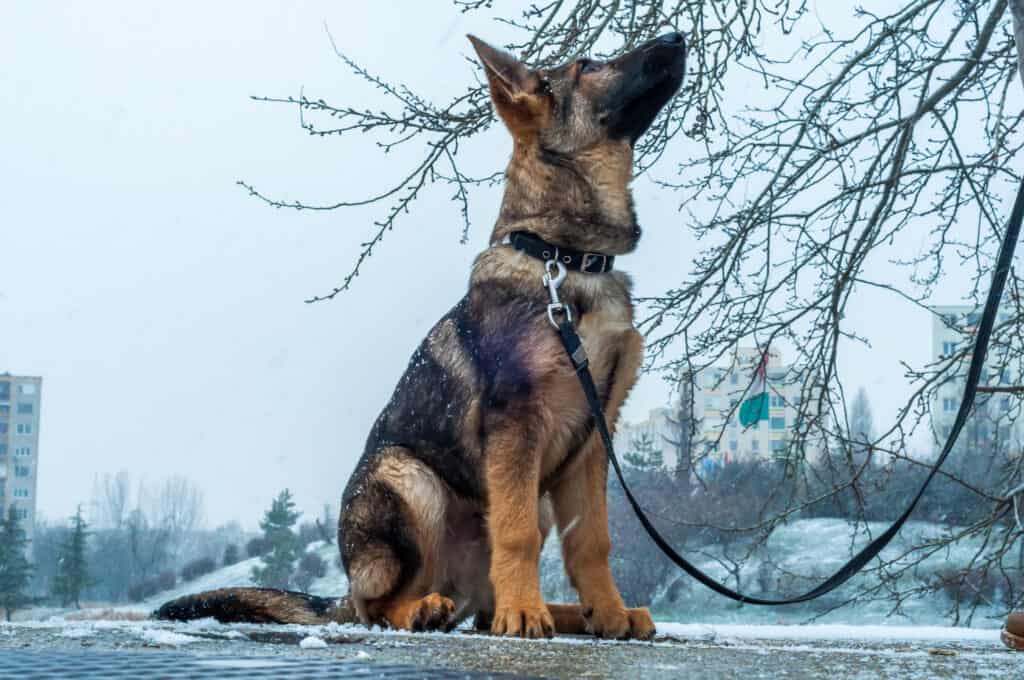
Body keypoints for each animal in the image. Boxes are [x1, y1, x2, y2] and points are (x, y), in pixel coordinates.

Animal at [157, 30, 688, 639]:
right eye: (589, 65)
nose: (676, 35)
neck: (565, 259)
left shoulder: (594, 435)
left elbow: (592, 542)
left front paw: (609, 611)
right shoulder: (517, 422)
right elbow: (517, 534)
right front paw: (526, 614)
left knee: (481, 610)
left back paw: (560, 613)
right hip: (409, 479)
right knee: (384, 606)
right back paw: (436, 608)